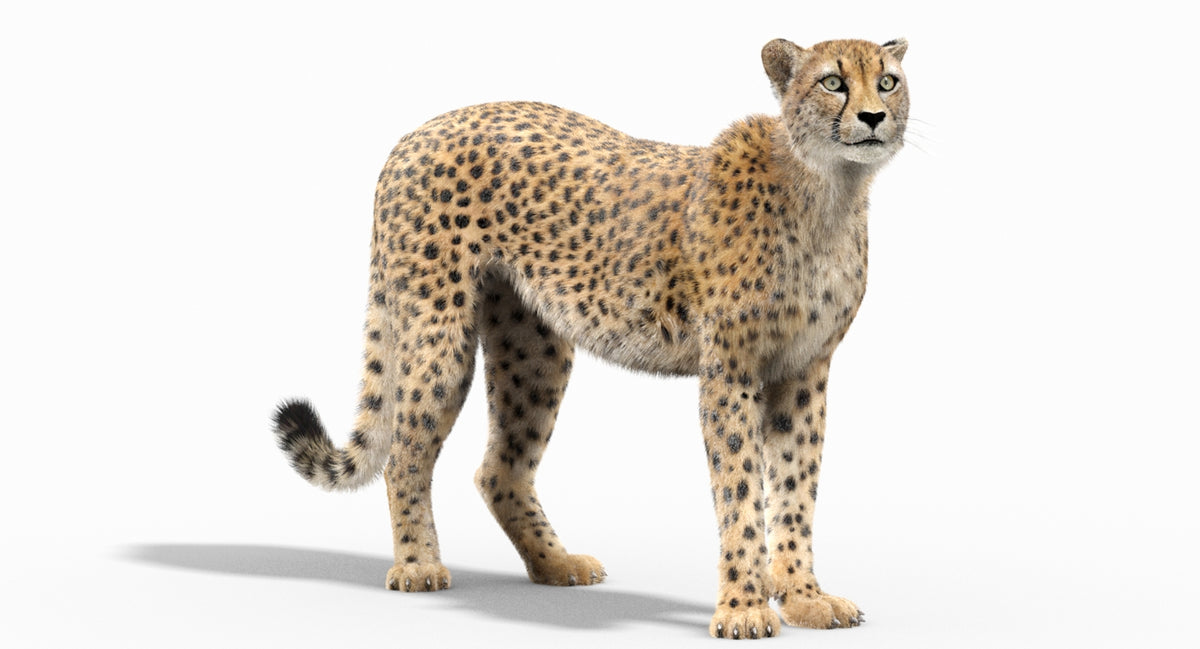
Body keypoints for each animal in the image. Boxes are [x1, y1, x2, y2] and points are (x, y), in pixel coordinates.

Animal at [272, 37, 909, 640]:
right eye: (832, 82)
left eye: (888, 81)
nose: (874, 116)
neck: (830, 190)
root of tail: (417, 132)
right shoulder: (730, 370)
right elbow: (739, 490)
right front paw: (745, 609)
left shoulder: (803, 371)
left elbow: (798, 487)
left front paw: (803, 596)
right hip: (439, 328)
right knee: (405, 453)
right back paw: (417, 566)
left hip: (536, 348)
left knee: (499, 469)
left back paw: (556, 563)